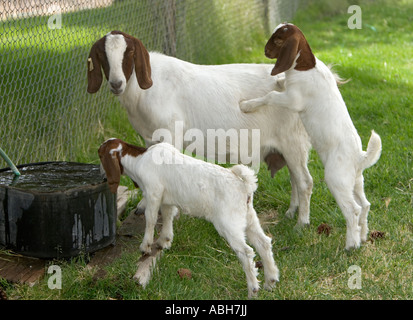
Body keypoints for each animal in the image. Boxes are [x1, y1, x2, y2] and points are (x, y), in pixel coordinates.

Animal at [87, 30, 312, 225]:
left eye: (130, 53)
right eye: (102, 56)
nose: (116, 83)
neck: (146, 89)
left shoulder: (171, 133)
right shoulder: (150, 137)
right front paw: (144, 206)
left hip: (294, 141)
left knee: (304, 181)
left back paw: (301, 223)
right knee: (294, 178)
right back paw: (291, 213)